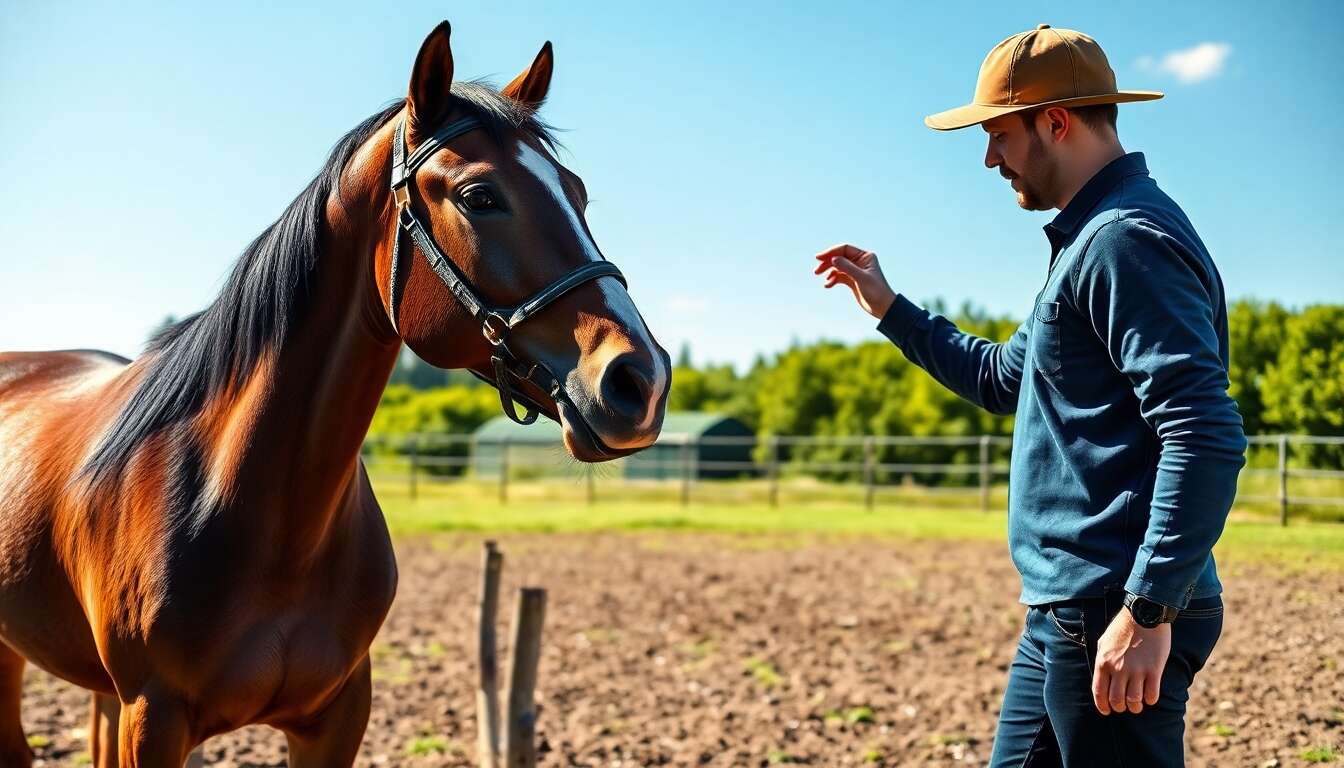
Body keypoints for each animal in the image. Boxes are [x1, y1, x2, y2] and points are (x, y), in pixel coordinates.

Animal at [0, 21, 669, 767]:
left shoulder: (338, 716)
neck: (269, 519)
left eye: (577, 194)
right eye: (478, 196)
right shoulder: (153, 719)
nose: (640, 381)